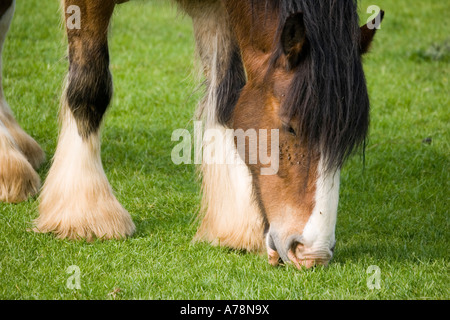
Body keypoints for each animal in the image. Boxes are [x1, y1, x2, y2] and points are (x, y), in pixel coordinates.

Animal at [0, 0, 384, 268]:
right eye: (291, 126)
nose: (312, 252)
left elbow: (227, 97)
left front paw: (234, 224)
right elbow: (90, 88)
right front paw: (86, 212)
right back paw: (10, 167)